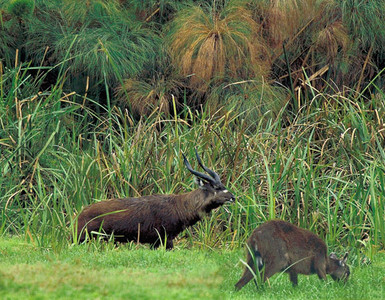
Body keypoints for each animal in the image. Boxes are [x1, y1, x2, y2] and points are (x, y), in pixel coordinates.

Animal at [75, 149, 234, 248]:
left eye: (222, 184)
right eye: (216, 187)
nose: (232, 197)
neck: (179, 205)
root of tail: (80, 215)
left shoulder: (155, 242)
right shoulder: (165, 240)